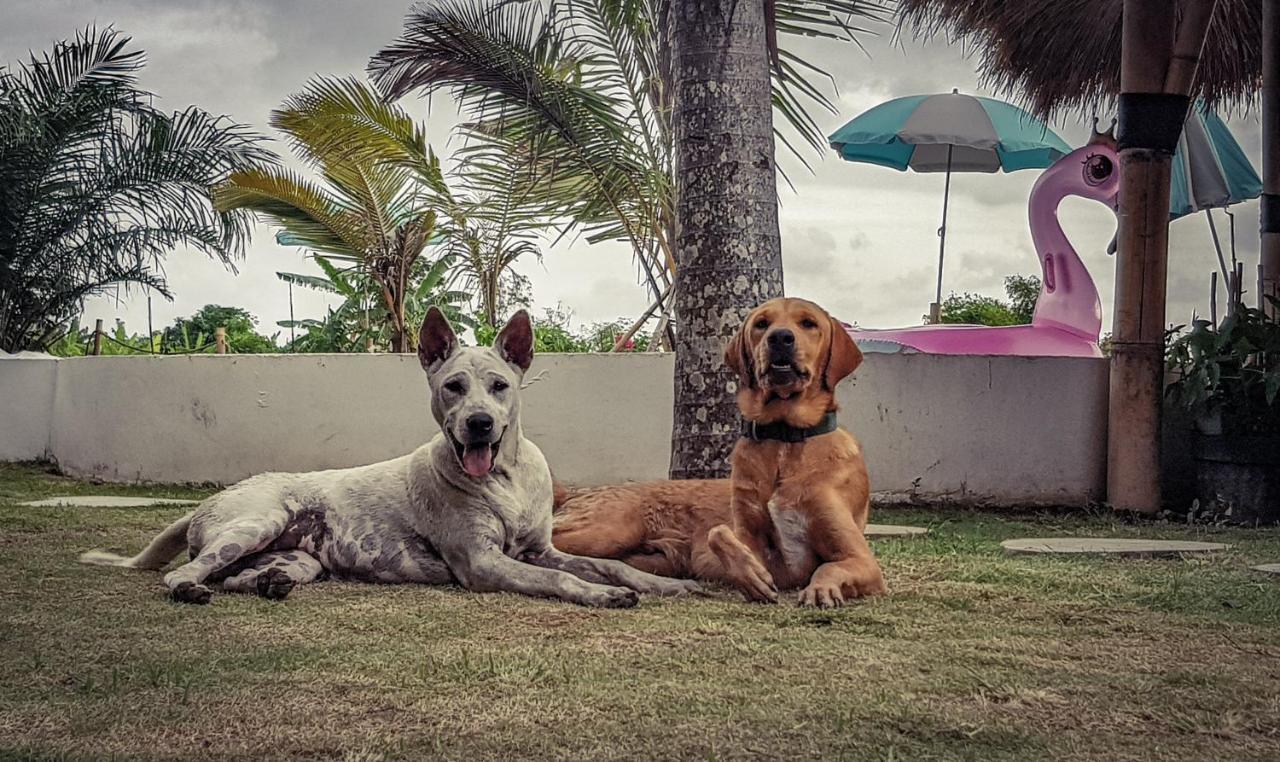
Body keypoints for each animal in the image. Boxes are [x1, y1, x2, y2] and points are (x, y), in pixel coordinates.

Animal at [555, 298, 885, 607]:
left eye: (808, 323)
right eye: (761, 324)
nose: (780, 338)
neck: (784, 441)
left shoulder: (859, 558)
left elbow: (828, 567)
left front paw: (819, 589)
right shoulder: (755, 542)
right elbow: (719, 534)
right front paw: (750, 576)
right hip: (610, 529)